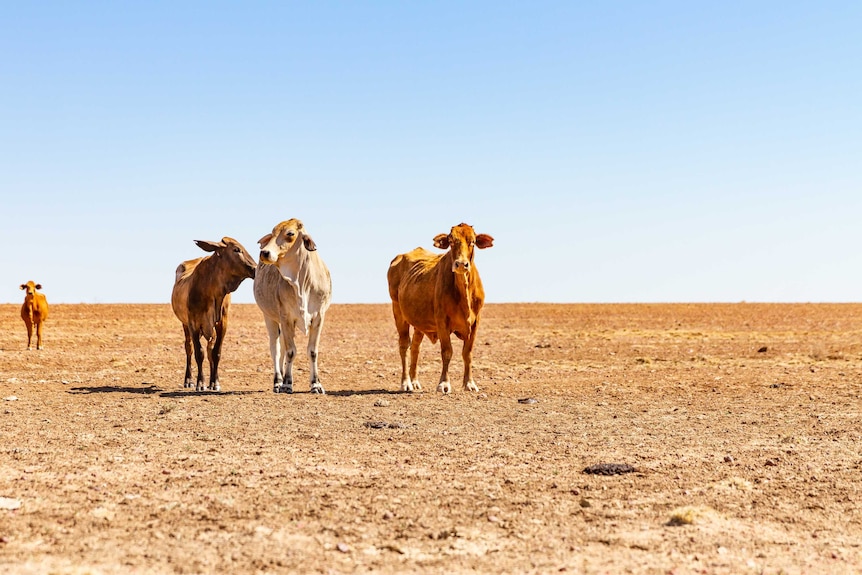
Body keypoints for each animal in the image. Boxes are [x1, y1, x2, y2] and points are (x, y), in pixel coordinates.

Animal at [171, 237, 256, 392]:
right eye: (236, 249)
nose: (255, 268)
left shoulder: (222, 324)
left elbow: (215, 353)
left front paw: (215, 382)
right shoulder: (193, 324)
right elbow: (199, 353)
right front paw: (200, 383)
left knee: (210, 350)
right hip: (185, 324)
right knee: (189, 348)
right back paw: (188, 380)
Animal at [255, 218, 332, 394]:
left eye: (290, 233)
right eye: (273, 232)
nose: (265, 253)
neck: (302, 282)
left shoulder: (319, 317)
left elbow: (312, 351)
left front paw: (316, 384)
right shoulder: (286, 318)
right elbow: (291, 352)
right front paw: (287, 383)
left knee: (282, 348)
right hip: (269, 318)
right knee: (276, 349)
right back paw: (278, 381)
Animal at [388, 223, 496, 394]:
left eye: (472, 242)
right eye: (451, 241)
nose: (461, 264)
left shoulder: (475, 322)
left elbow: (467, 353)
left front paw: (469, 383)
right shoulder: (442, 321)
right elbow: (447, 352)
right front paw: (444, 384)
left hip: (420, 323)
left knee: (415, 347)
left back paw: (415, 381)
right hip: (398, 312)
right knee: (404, 346)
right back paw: (406, 383)